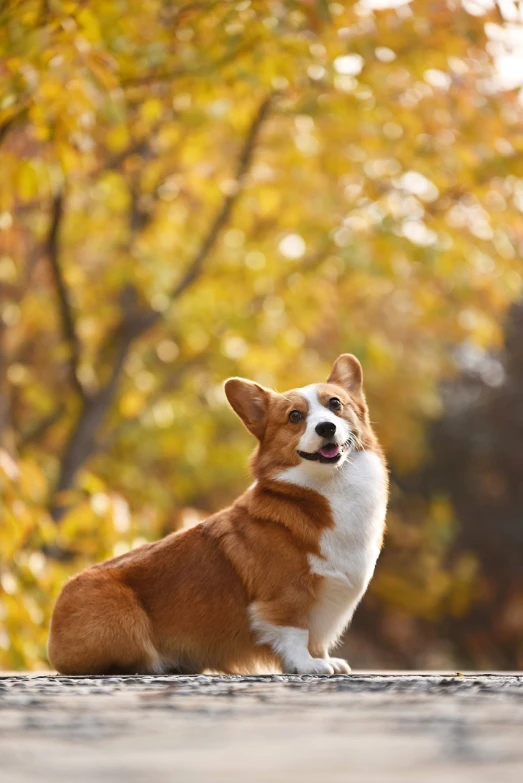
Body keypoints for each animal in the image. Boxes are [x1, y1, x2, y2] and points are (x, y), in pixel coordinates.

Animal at [47, 354, 386, 672]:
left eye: (335, 404)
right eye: (294, 416)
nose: (326, 427)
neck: (329, 488)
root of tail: (54, 624)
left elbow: (317, 641)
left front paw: (325, 660)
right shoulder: (286, 596)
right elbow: (295, 632)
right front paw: (307, 665)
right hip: (125, 622)